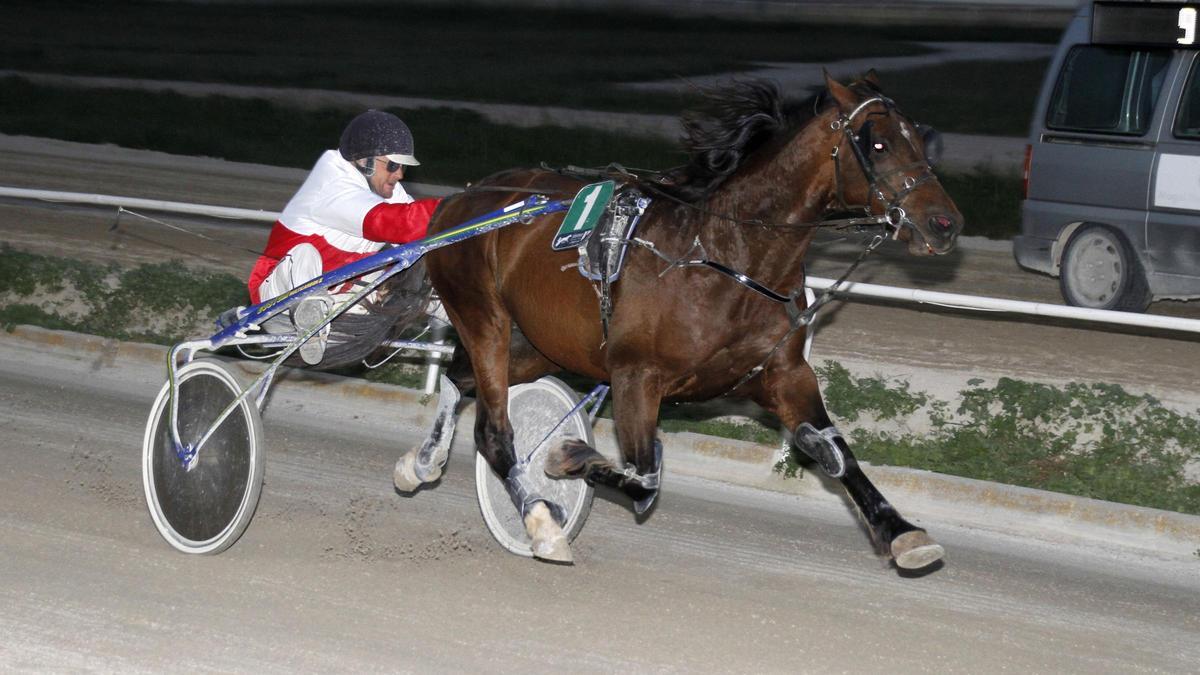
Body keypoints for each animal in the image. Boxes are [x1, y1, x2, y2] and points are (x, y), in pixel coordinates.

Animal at [408, 73, 960, 566]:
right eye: (880, 144)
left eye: (921, 141)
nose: (945, 223)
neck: (727, 255)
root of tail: (461, 197)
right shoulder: (635, 375)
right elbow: (643, 479)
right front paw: (568, 455)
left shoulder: (783, 373)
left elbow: (833, 450)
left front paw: (902, 532)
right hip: (485, 318)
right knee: (494, 431)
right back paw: (541, 522)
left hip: (538, 345)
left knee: (462, 380)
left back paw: (421, 463)